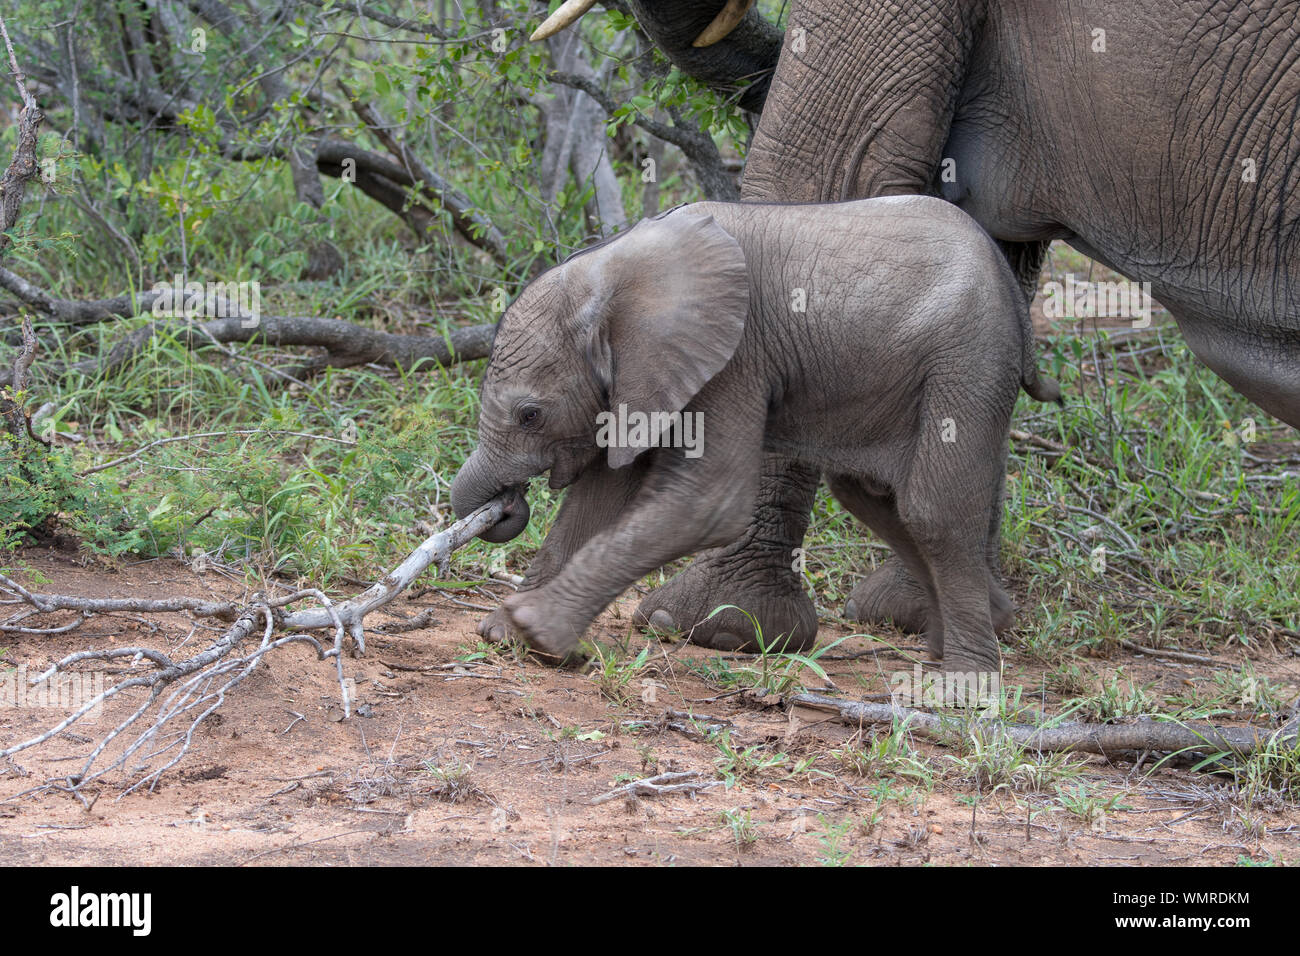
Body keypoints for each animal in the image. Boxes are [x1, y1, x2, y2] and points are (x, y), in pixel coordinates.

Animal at [447, 195, 1055, 671]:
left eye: (530, 415)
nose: (506, 506)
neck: (614, 268)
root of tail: (1009, 284)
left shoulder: (733, 358)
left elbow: (709, 501)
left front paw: (536, 631)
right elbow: (597, 498)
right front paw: (506, 633)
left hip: (968, 357)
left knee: (931, 511)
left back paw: (965, 681)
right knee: (875, 497)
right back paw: (967, 634)